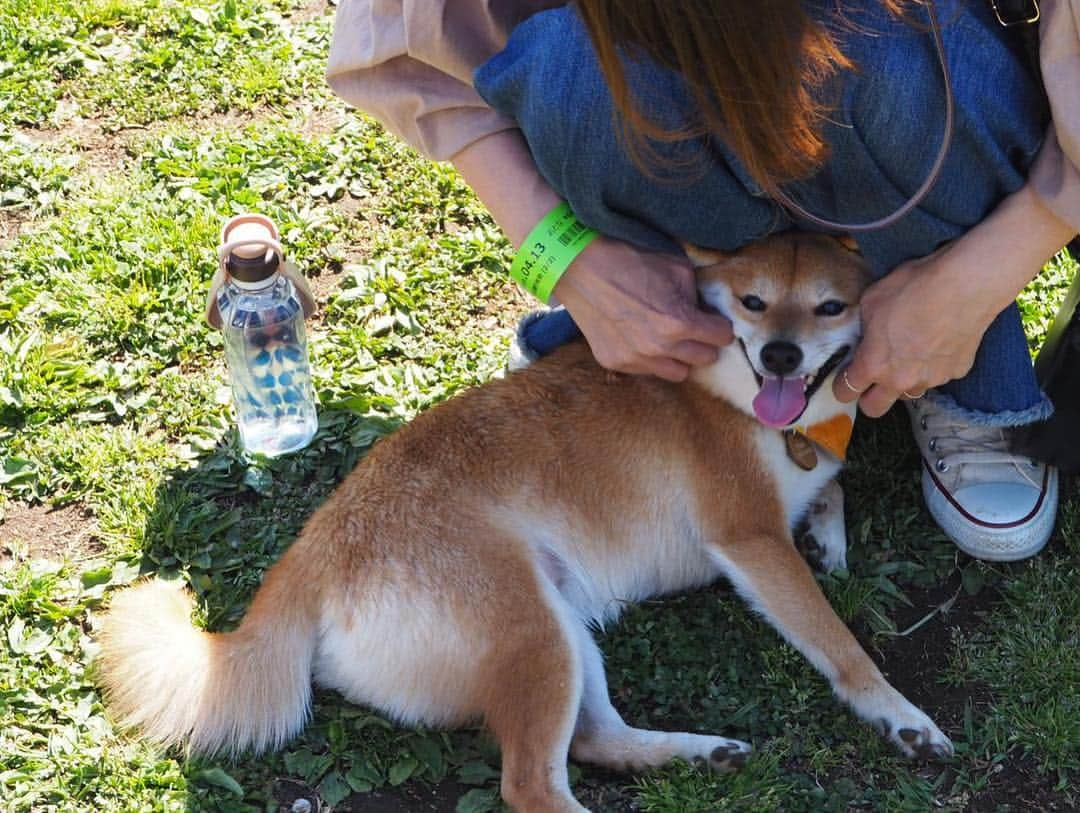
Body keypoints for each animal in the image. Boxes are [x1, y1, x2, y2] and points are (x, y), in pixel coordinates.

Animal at [95, 231, 954, 811]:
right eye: (753, 302)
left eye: (831, 306)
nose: (779, 355)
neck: (729, 390)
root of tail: (313, 551)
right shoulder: (749, 536)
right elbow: (841, 645)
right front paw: (901, 717)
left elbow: (830, 491)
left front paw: (830, 532)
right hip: (537, 634)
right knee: (532, 785)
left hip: (565, 626)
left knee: (595, 740)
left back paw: (701, 751)